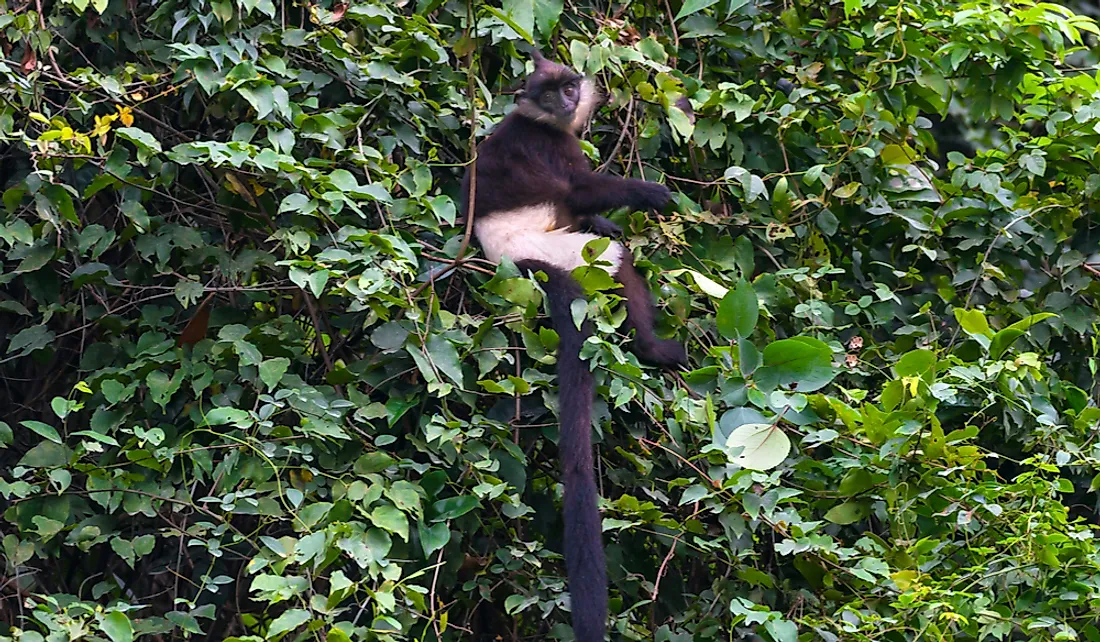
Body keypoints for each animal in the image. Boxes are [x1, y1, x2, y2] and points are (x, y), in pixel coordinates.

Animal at [457, 50, 686, 642]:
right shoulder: (547, 147)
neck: (543, 124)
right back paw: (654, 349)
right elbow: (578, 190)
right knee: (614, 259)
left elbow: (585, 206)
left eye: (568, 85)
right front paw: (647, 194)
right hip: (561, 254)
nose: (567, 100)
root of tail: (513, 263)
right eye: (548, 92)